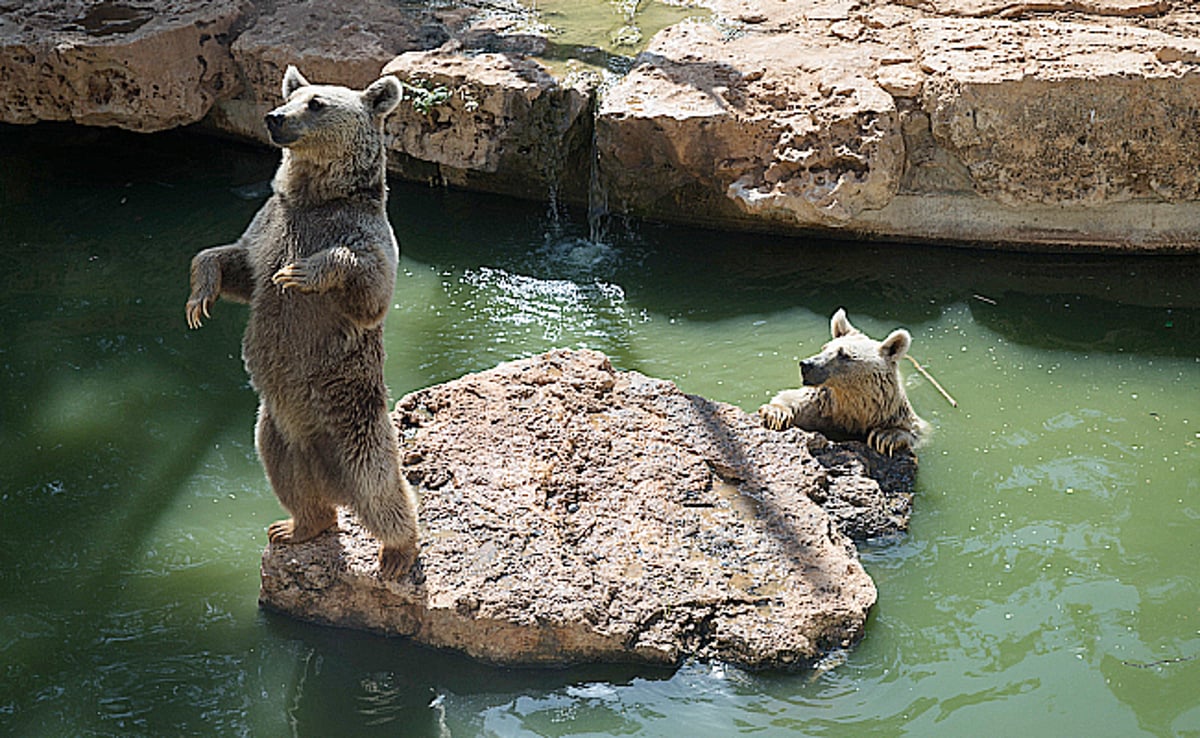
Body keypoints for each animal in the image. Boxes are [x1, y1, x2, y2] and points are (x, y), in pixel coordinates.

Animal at [182, 66, 417, 580]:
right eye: (292, 95)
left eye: (317, 104)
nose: (274, 117)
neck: (315, 195)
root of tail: (329, 474)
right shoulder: (269, 224)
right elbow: (236, 264)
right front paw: (198, 297)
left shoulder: (367, 235)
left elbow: (368, 288)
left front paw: (299, 274)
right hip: (273, 427)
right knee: (289, 479)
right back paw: (296, 526)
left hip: (355, 424)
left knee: (381, 487)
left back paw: (397, 551)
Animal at [758, 307, 926, 456]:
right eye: (825, 348)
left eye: (843, 354)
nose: (806, 365)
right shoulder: (820, 406)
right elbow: (791, 398)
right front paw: (776, 413)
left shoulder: (891, 413)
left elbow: (914, 431)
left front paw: (885, 437)